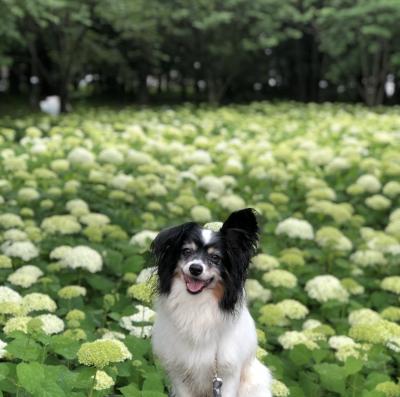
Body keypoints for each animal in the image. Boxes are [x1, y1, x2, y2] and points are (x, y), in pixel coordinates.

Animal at [150, 209, 272, 394]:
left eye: (215, 257)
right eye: (186, 251)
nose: (195, 268)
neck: (197, 304)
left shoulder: (228, 374)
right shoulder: (180, 373)